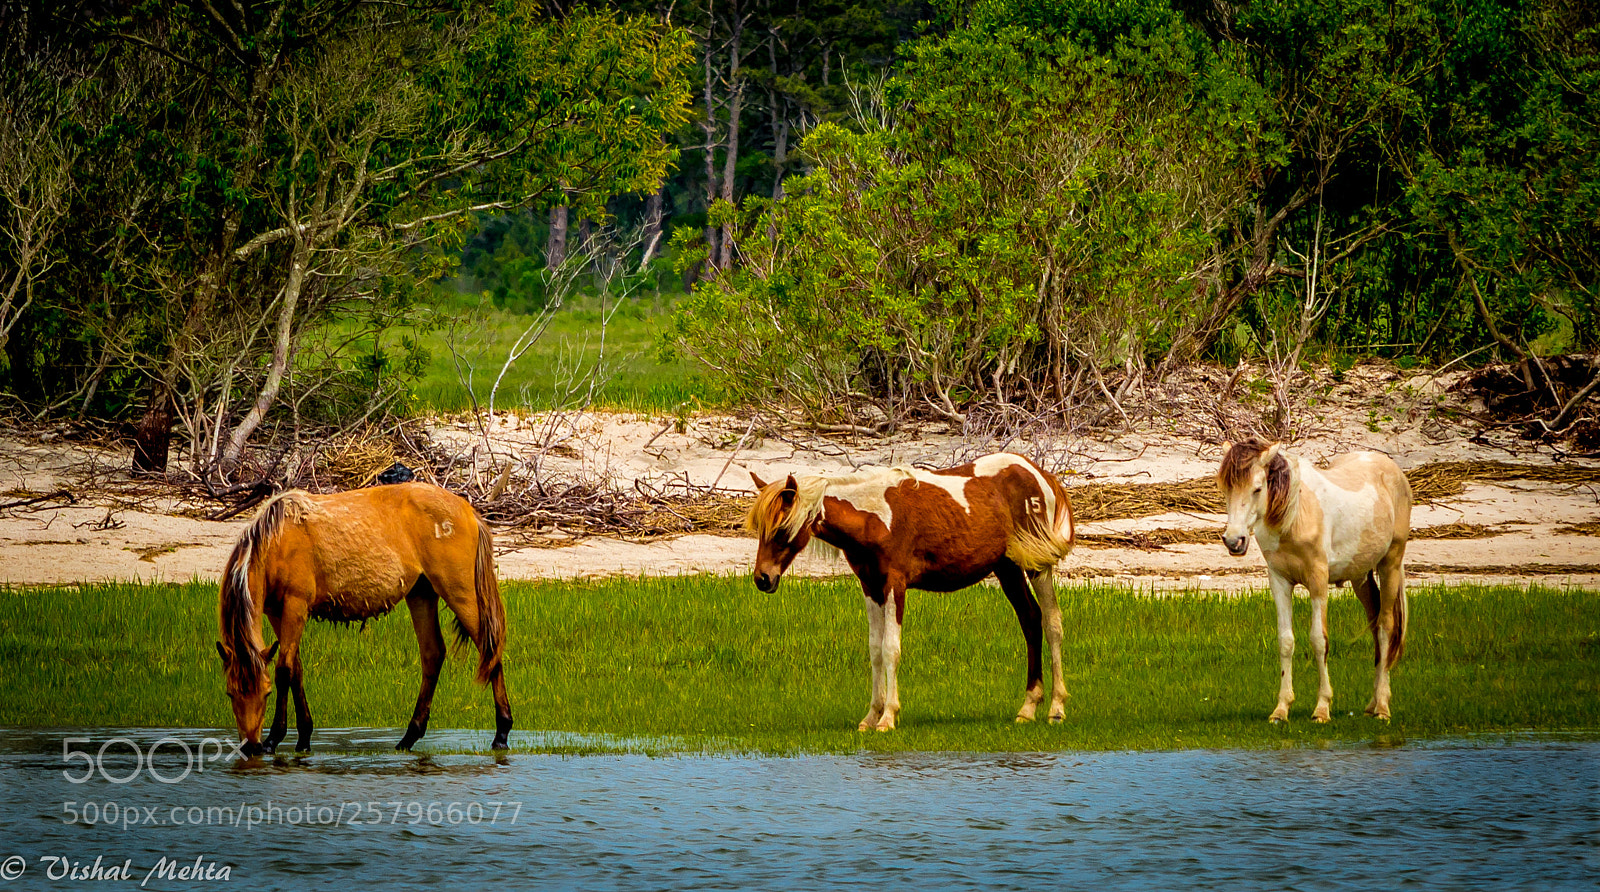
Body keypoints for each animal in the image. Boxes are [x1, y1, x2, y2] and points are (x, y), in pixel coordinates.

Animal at [215, 482, 511, 755]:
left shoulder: (295, 606)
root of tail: (468, 510)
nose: (250, 746)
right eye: (230, 692)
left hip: (459, 592)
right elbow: (296, 669)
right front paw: (304, 737)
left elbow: (284, 671)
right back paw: (409, 736)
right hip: (421, 593)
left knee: (489, 649)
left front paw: (274, 738)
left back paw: (502, 732)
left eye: (266, 692)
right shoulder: (277, 612)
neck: (277, 540)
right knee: (433, 654)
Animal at [747, 453, 1075, 730]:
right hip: (1007, 568)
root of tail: (1041, 473)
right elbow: (875, 649)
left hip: (1037, 566)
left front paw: (888, 717)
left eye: (781, 530)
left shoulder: (895, 584)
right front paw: (871, 716)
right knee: (1030, 620)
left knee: (1052, 623)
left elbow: (891, 648)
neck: (875, 517)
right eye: (760, 529)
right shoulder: (870, 586)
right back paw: (1028, 708)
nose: (763, 578)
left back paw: (1056, 710)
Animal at [1217, 438, 1411, 722]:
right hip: (1361, 577)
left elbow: (1319, 641)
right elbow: (1286, 641)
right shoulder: (1279, 582)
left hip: (1390, 566)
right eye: (1225, 490)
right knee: (1375, 625)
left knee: (1386, 626)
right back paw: (1371, 704)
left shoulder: (1318, 580)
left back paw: (1383, 708)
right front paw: (1281, 709)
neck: (1295, 514)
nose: (1234, 541)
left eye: (1257, 489)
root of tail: (1394, 470)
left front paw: (1322, 708)